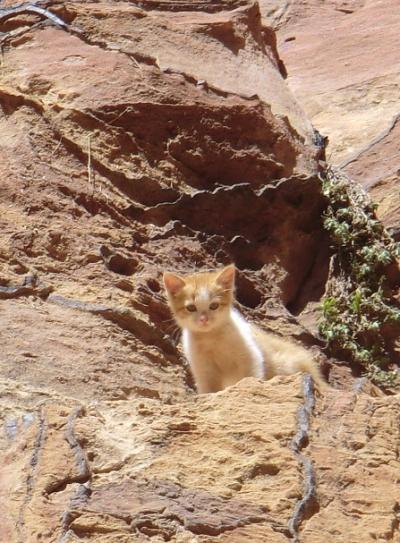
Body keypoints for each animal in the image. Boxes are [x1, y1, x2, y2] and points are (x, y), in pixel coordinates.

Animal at [163, 266, 324, 394]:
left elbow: (251, 375)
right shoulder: (203, 368)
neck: (211, 337)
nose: (204, 319)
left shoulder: (250, 355)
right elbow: (208, 389)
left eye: (214, 306)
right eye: (191, 308)